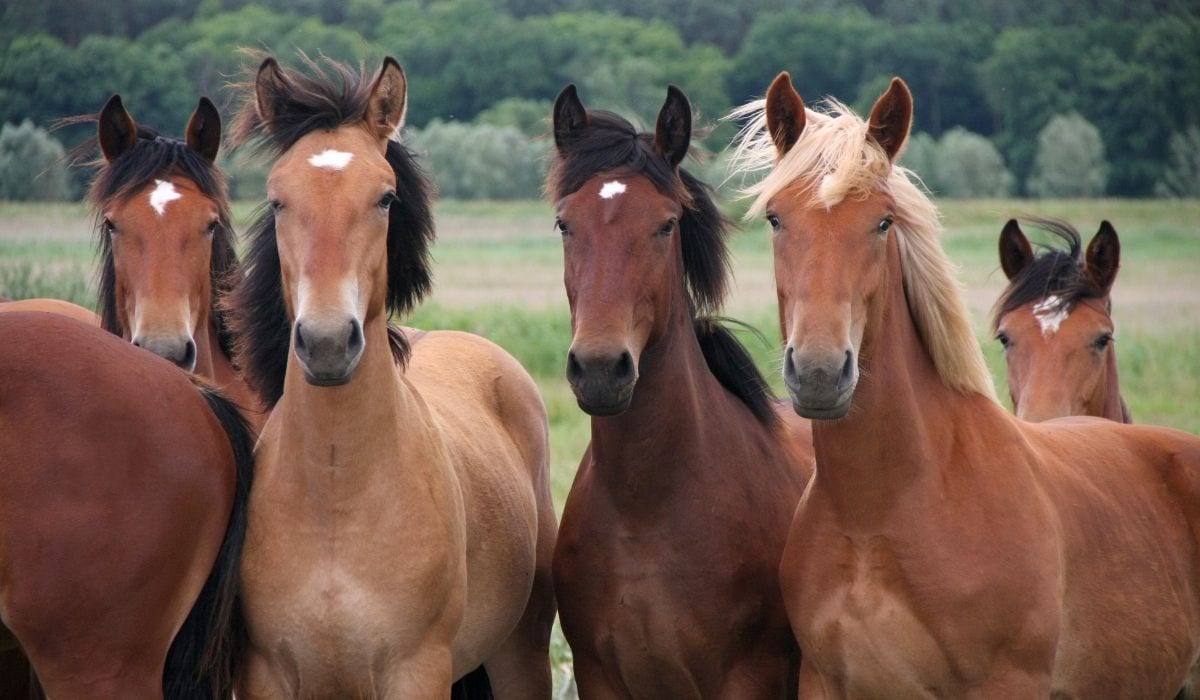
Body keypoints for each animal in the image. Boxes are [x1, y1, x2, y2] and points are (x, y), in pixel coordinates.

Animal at [224, 55, 556, 698]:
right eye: (276, 200)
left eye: (384, 198)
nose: (328, 342)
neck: (336, 499)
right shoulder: (264, 674)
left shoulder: (417, 671)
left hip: (520, 656)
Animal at [549, 84, 814, 697]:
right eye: (564, 224)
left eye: (666, 225)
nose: (600, 368)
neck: (645, 511)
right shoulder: (600, 678)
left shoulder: (747, 679)